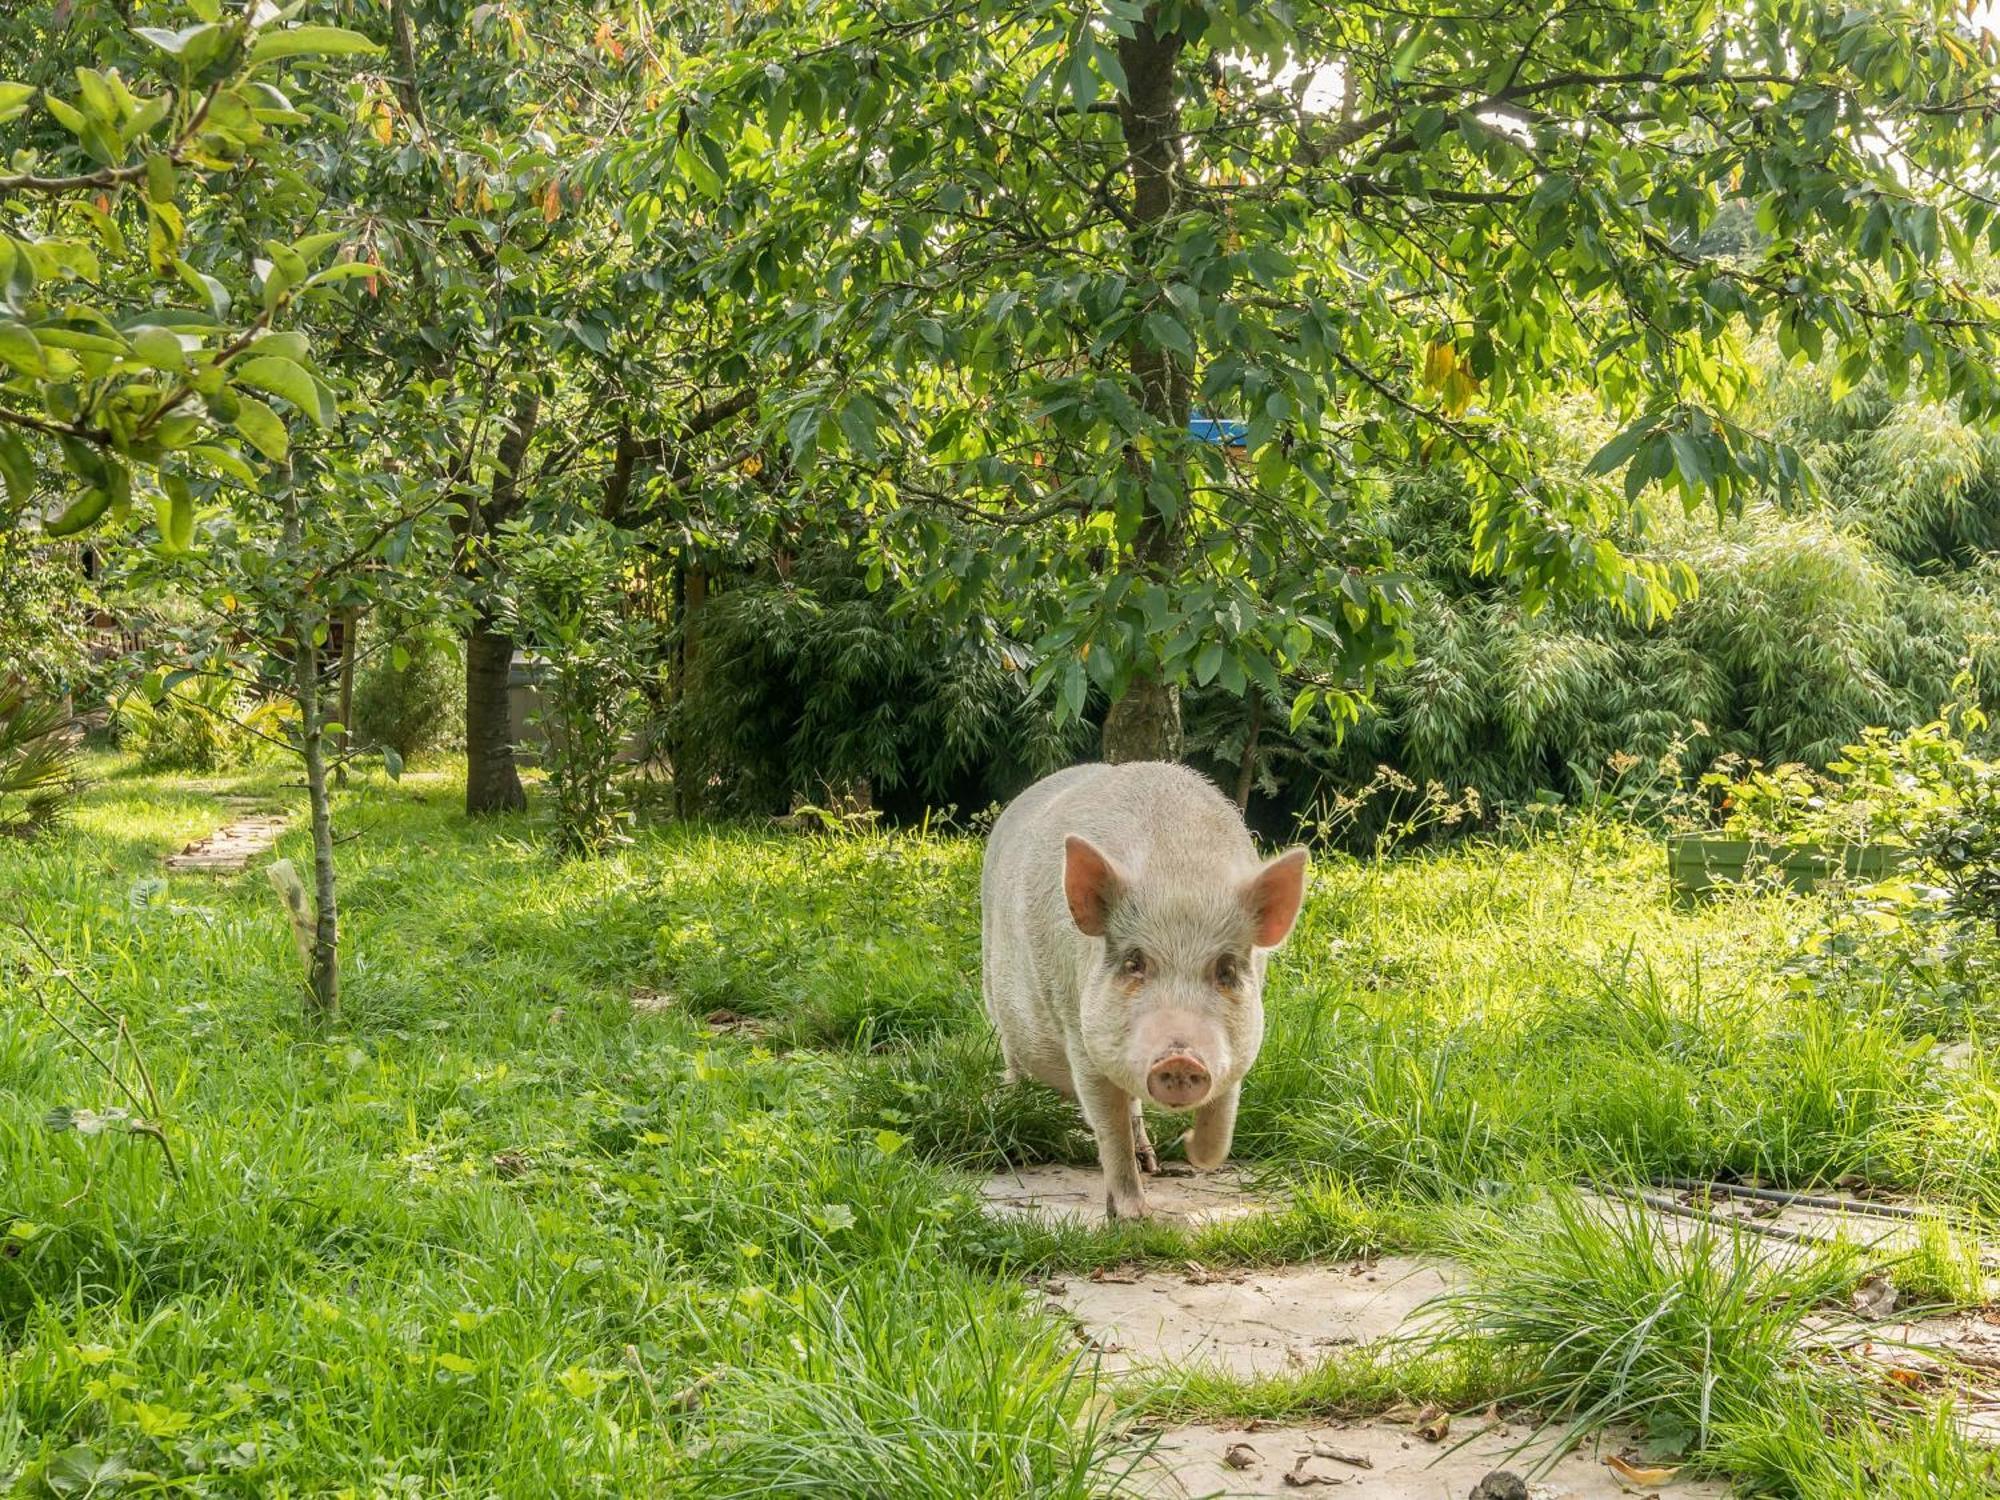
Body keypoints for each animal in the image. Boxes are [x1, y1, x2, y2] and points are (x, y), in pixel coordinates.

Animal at [984, 764, 1312, 1224]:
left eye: (1226, 969)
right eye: (1134, 962)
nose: (1180, 1058)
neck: (1176, 874)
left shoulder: (1239, 1044)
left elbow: (1221, 1125)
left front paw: (1190, 1148)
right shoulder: (1079, 1031)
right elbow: (1110, 1128)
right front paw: (1133, 1217)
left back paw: (1151, 1162)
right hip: (996, 998)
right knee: (1012, 1059)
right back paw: (1010, 1108)